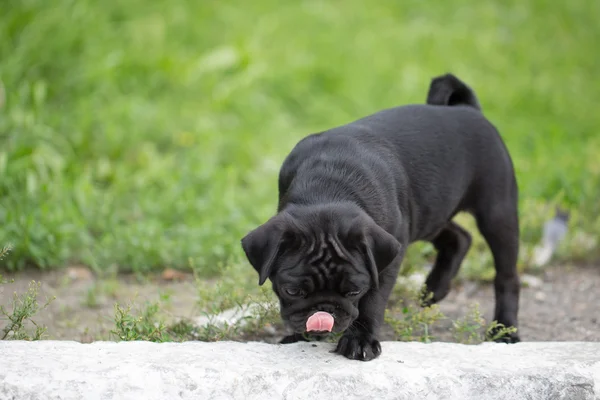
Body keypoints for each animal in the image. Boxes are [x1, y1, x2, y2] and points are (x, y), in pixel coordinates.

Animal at [241, 73, 516, 360]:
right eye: (292, 291)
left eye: (354, 291)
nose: (323, 313)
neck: (328, 186)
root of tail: (467, 109)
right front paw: (298, 337)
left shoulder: (387, 258)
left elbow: (373, 300)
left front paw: (360, 339)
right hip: (429, 214)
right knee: (459, 237)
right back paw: (434, 289)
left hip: (497, 212)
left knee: (506, 277)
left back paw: (505, 331)